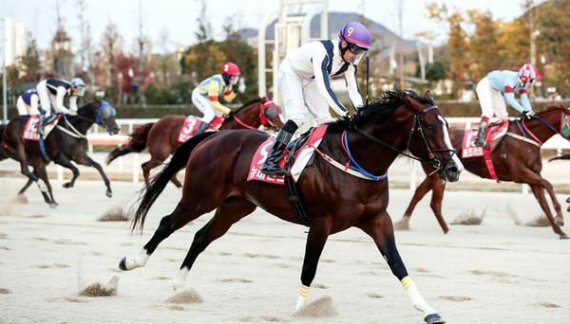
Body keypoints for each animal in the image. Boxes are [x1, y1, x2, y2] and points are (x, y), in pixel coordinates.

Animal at [105, 97, 282, 187]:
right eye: (270, 111)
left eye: (278, 109)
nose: (281, 125)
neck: (232, 127)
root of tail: (155, 123)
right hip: (160, 154)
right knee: (145, 167)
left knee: (171, 175)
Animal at [394, 105, 568, 239]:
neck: (525, 138)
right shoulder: (520, 174)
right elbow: (548, 184)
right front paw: (560, 217)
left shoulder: (532, 177)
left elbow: (544, 203)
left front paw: (559, 231)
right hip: (439, 173)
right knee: (434, 202)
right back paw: (446, 230)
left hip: (439, 173)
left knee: (419, 192)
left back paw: (403, 221)